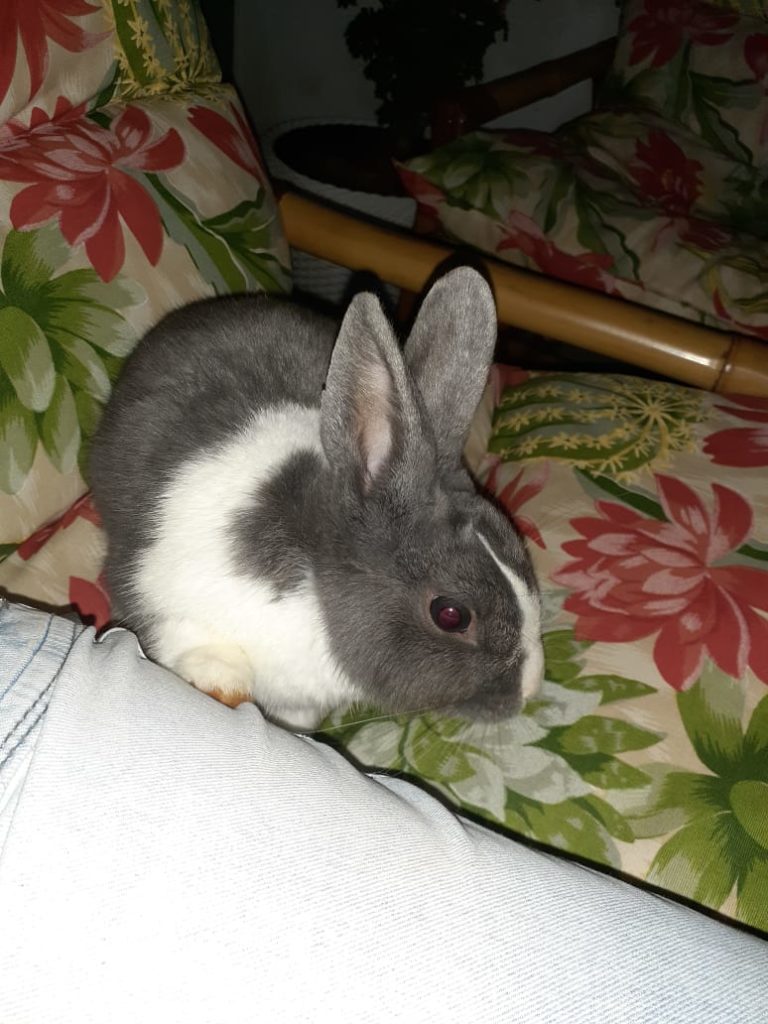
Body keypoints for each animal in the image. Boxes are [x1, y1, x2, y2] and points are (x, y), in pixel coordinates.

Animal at [89, 267, 544, 730]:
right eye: (451, 615)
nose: (529, 690)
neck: (317, 588)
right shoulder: (169, 601)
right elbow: (199, 648)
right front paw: (219, 685)